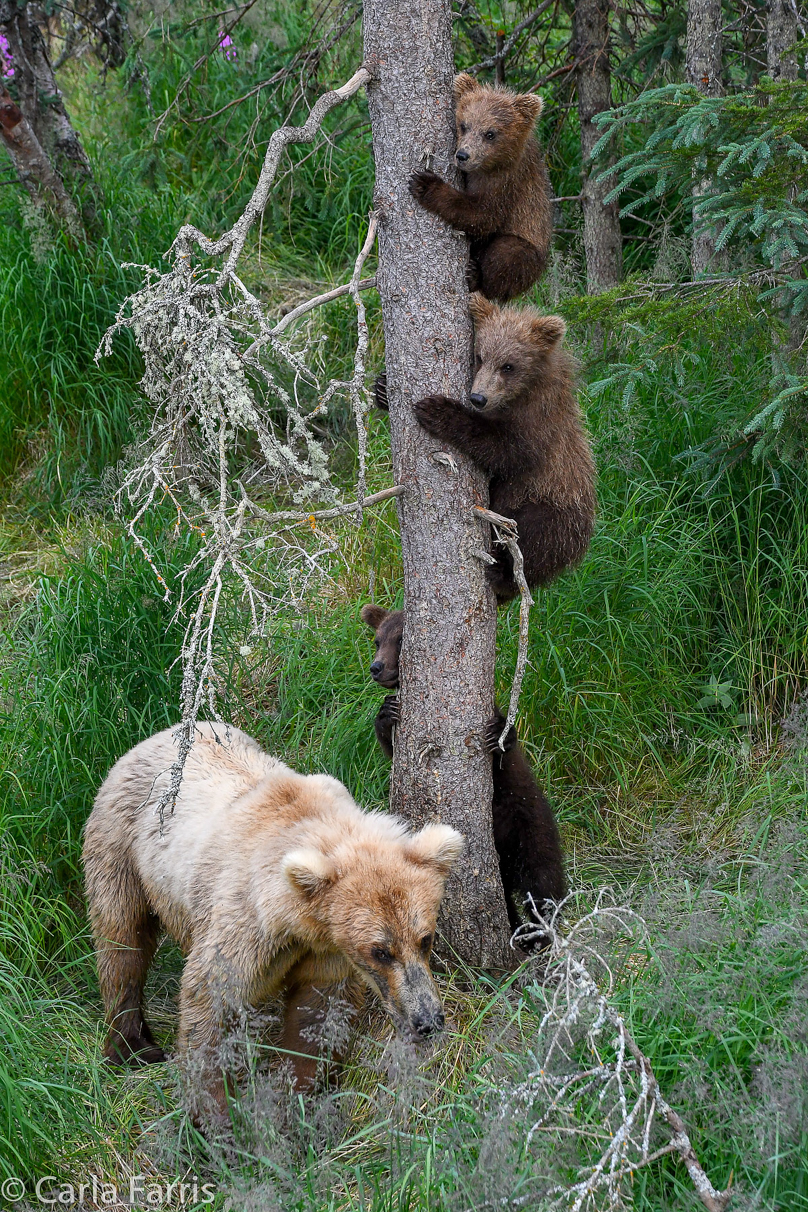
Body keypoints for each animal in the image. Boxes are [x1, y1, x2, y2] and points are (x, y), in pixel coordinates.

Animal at [83, 722, 460, 1119]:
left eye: (425, 939)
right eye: (381, 951)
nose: (428, 1020)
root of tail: (160, 734)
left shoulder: (326, 949)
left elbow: (318, 1014)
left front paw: (300, 1094)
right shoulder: (245, 923)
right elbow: (212, 999)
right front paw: (216, 1113)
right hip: (121, 844)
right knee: (123, 940)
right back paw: (132, 1046)